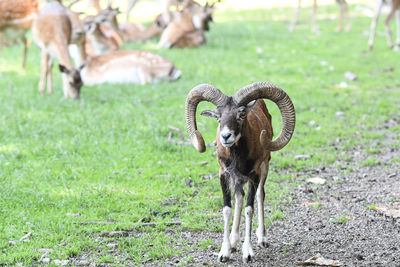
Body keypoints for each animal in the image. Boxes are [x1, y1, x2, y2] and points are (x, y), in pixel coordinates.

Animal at [186, 82, 296, 262]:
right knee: (239, 197)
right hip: (237, 180)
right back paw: (233, 242)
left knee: (259, 196)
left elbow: (249, 209)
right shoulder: (224, 175)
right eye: (218, 116)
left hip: (264, 169)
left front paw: (248, 253)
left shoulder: (254, 175)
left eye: (242, 114)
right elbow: (227, 209)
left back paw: (262, 239)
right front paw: (224, 252)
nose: (226, 136)